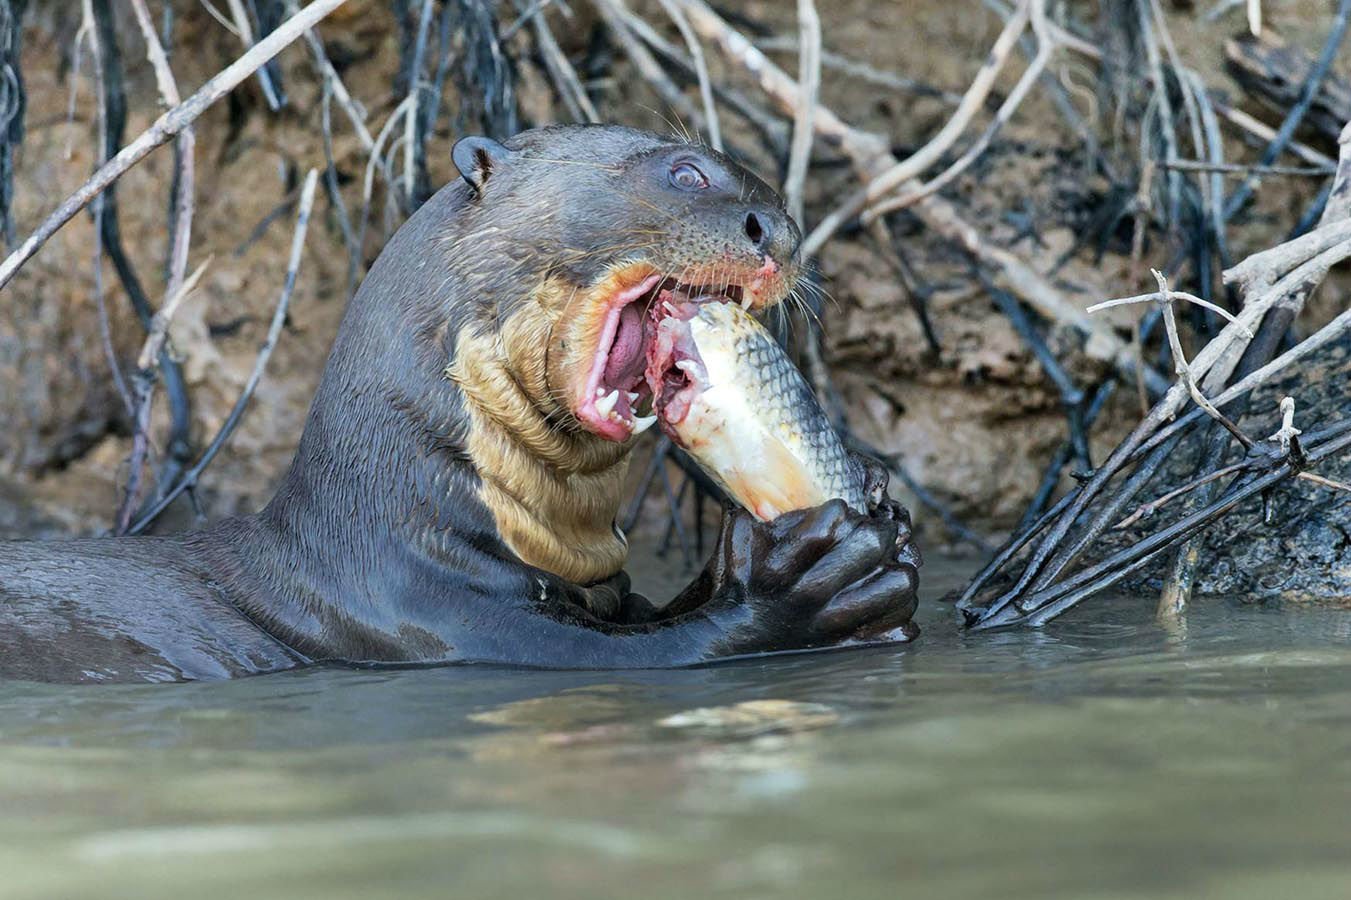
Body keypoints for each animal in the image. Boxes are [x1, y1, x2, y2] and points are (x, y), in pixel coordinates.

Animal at [0, 125, 919, 684]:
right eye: (685, 171)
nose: (780, 230)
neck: (395, 511)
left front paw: (879, 505)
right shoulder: (433, 616)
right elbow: (650, 653)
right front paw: (801, 584)